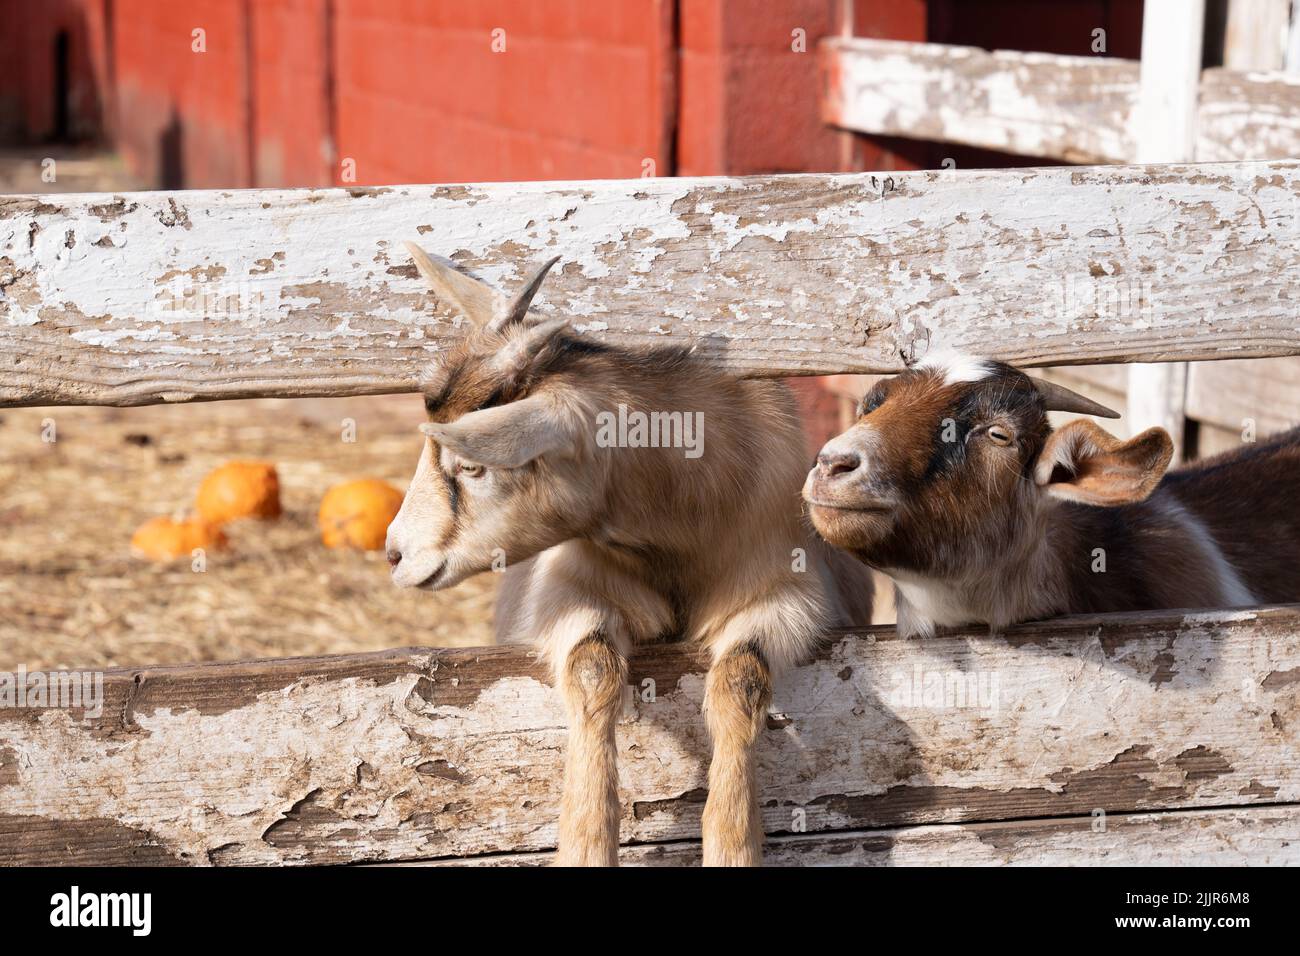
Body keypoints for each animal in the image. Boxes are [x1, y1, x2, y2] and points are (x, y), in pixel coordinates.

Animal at [386, 243, 873, 865]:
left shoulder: (789, 594)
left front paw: (732, 843)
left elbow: (741, 679)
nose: (396, 553)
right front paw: (587, 843)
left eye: (473, 465)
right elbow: (593, 668)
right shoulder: (569, 590)